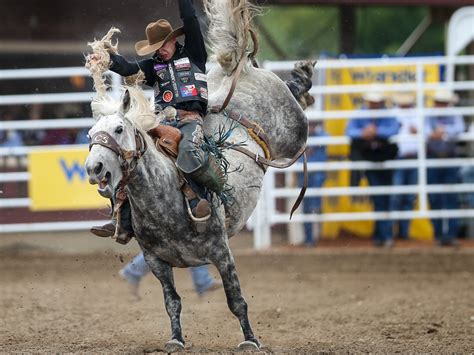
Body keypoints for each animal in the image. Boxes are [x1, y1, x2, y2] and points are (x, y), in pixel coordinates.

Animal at [84, 0, 314, 350]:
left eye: (119, 129)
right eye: (89, 135)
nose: (93, 168)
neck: (162, 199)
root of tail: (235, 74)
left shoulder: (222, 252)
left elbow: (236, 301)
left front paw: (251, 341)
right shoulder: (155, 262)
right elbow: (172, 302)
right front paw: (176, 340)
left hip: (293, 128)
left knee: (295, 100)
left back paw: (302, 78)